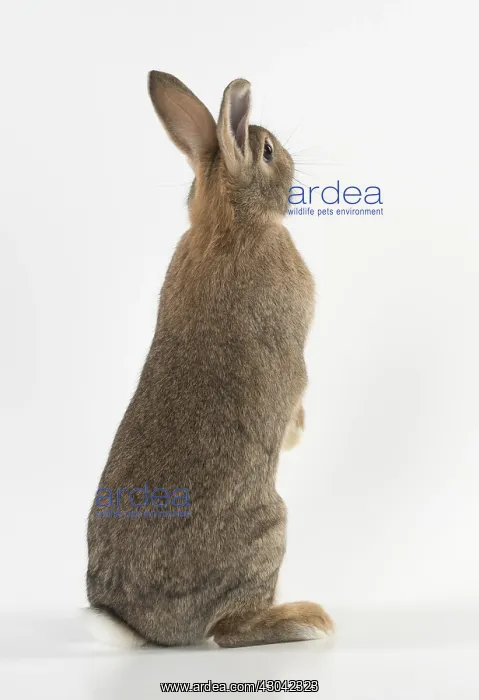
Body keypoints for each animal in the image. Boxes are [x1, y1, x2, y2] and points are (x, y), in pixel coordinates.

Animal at [86, 71, 333, 648]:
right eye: (267, 151)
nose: (291, 162)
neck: (231, 225)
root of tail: (138, 623)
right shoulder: (297, 355)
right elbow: (298, 386)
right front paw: (297, 434)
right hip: (270, 529)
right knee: (228, 629)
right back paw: (306, 620)